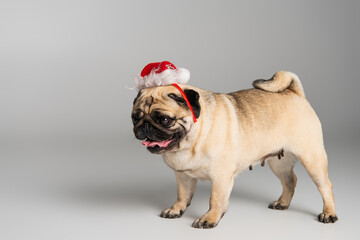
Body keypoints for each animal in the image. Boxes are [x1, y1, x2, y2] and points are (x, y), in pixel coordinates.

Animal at [131, 71, 338, 229]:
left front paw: (209, 218)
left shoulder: (220, 177)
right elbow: (182, 195)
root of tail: (294, 93)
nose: (144, 126)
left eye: (165, 120)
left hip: (312, 158)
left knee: (325, 186)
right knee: (290, 181)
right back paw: (282, 203)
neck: (193, 139)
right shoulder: (183, 175)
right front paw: (176, 210)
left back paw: (328, 214)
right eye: (135, 118)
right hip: (280, 163)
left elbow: (215, 199)